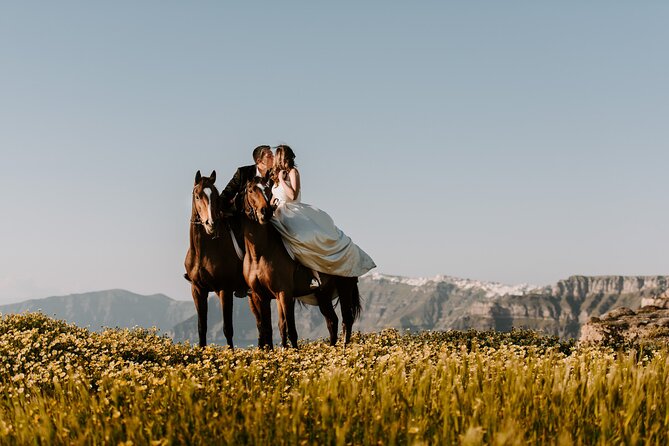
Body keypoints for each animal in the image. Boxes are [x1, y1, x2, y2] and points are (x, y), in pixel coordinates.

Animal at [184, 170, 247, 348]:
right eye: (197, 196)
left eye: (216, 197)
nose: (210, 224)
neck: (203, 252)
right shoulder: (198, 290)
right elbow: (201, 328)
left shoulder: (225, 290)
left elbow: (227, 329)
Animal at [242, 176, 362, 349]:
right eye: (251, 190)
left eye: (268, 189)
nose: (265, 212)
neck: (259, 253)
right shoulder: (260, 296)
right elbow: (269, 329)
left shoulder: (284, 294)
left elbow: (290, 328)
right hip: (323, 295)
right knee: (332, 321)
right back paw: (332, 349)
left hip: (344, 288)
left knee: (347, 319)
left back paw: (344, 350)